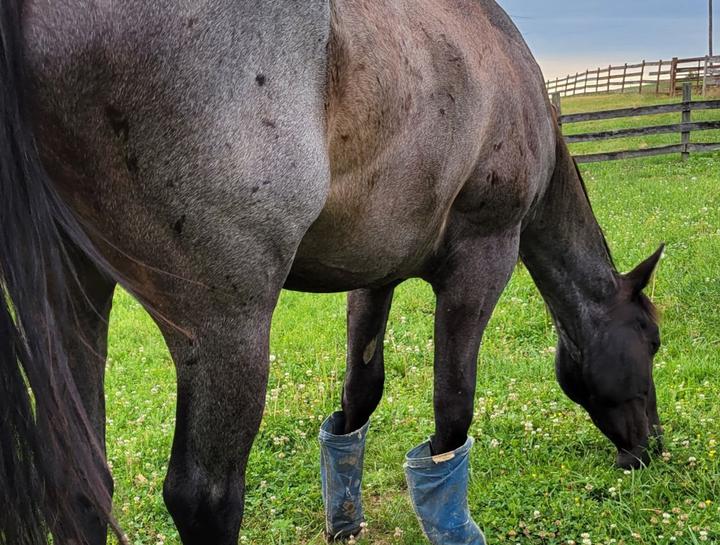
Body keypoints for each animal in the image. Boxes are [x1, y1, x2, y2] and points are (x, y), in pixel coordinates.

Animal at [0, 0, 665, 544]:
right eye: (652, 340)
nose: (651, 448)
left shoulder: (374, 272)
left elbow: (358, 397)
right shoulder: (482, 260)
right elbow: (453, 414)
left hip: (75, 300)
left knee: (82, 482)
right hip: (226, 326)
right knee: (205, 497)